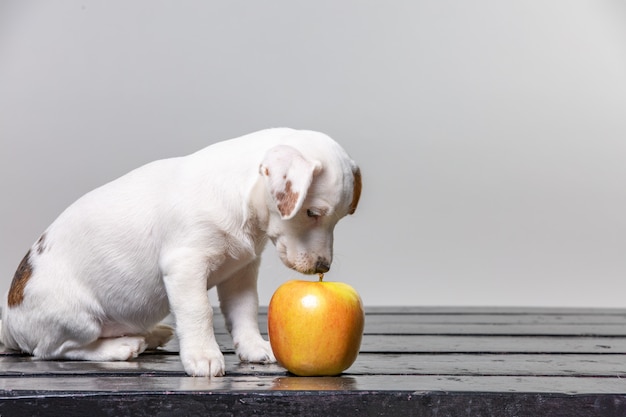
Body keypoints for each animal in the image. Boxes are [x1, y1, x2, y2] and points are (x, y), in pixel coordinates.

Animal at [0, 127, 360, 376]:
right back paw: (121, 346)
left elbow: (244, 312)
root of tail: (10, 326)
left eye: (340, 217)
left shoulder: (241, 271)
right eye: (312, 213)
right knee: (56, 350)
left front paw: (255, 347)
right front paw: (203, 356)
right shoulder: (186, 267)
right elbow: (199, 312)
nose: (323, 266)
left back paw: (151, 334)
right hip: (78, 318)